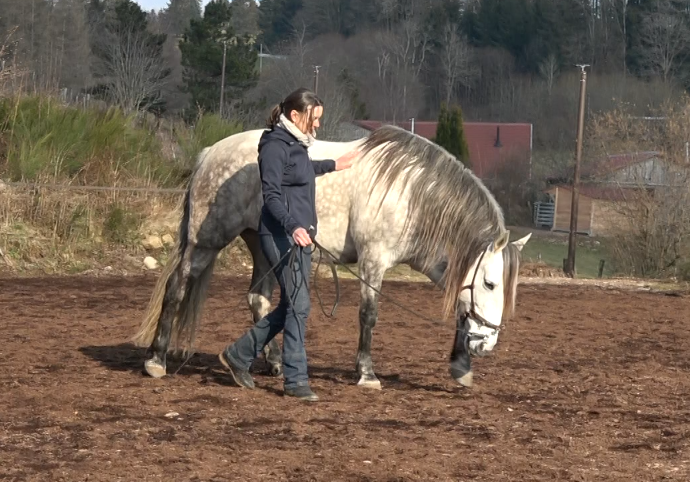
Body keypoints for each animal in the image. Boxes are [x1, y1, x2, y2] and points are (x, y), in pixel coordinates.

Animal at [132, 124, 531, 390]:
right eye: (490, 283)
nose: (487, 346)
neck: (411, 195)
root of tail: (209, 153)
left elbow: (461, 313)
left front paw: (461, 368)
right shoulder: (373, 261)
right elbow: (369, 316)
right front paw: (367, 374)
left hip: (263, 247)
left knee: (258, 299)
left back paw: (271, 363)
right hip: (208, 240)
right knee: (177, 287)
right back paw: (156, 359)